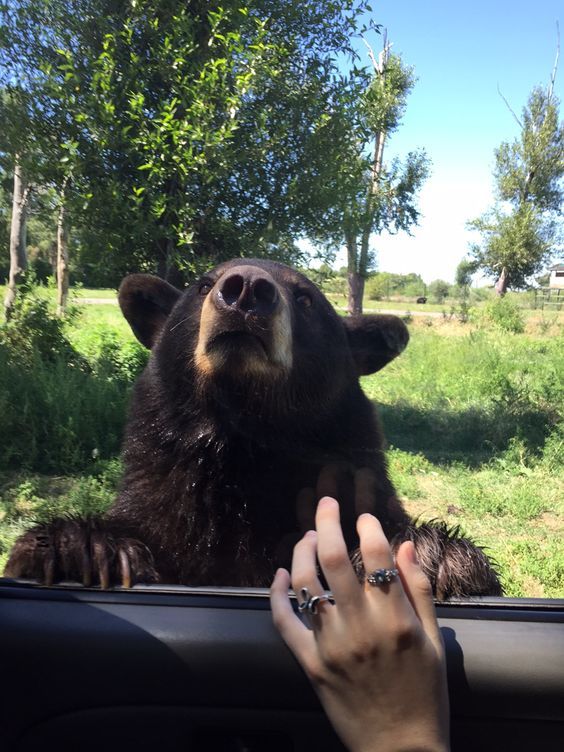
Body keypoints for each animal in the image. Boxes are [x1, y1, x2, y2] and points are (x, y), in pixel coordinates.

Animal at [3, 258, 498, 600]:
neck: (245, 440)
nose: (243, 289)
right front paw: (81, 548)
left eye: (305, 297)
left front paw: (431, 557)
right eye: (203, 283)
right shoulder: (163, 500)